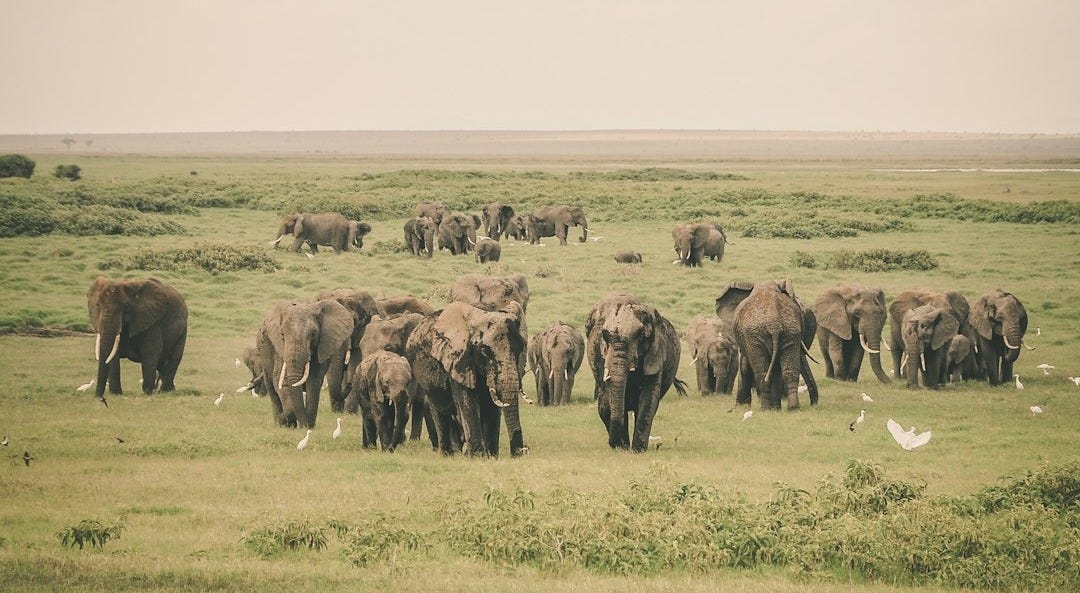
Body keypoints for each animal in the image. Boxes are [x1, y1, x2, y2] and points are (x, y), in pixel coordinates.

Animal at [87, 274, 189, 403]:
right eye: (97, 305)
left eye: (126, 307)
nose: (99, 398)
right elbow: (113, 354)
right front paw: (116, 394)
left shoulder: (150, 321)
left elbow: (150, 353)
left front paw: (147, 393)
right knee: (161, 363)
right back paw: (168, 390)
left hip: (183, 330)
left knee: (173, 358)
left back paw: (165, 392)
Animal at [260, 298, 349, 427]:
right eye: (282, 334)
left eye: (313, 334)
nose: (350, 384)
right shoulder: (279, 348)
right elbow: (282, 380)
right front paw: (289, 421)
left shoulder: (320, 346)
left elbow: (314, 381)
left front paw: (309, 426)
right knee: (272, 390)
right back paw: (280, 423)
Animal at [406, 300, 527, 457]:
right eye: (484, 352)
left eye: (521, 348)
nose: (522, 451)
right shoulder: (458, 361)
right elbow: (468, 402)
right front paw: (478, 457)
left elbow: (491, 407)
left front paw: (491, 456)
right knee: (439, 411)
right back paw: (447, 454)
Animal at [587, 293, 686, 451]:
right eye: (605, 336)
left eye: (641, 336)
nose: (613, 444)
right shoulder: (602, 359)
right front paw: (622, 447)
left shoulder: (656, 354)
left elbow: (648, 398)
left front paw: (638, 449)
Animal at [717, 278, 816, 408]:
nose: (813, 404)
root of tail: (774, 325)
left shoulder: (747, 338)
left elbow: (745, 365)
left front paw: (741, 406)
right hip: (790, 332)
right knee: (789, 371)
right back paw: (792, 408)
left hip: (757, 337)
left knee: (762, 373)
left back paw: (766, 408)